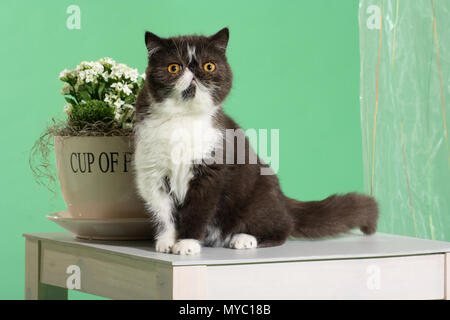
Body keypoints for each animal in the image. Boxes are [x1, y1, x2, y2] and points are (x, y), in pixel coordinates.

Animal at [132, 28, 378, 256]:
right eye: (174, 68)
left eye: (209, 66)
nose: (194, 71)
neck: (182, 119)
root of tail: (283, 201)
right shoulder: (152, 173)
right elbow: (163, 211)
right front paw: (166, 242)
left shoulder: (211, 170)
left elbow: (198, 210)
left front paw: (186, 244)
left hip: (260, 195)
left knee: (282, 227)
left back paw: (244, 239)